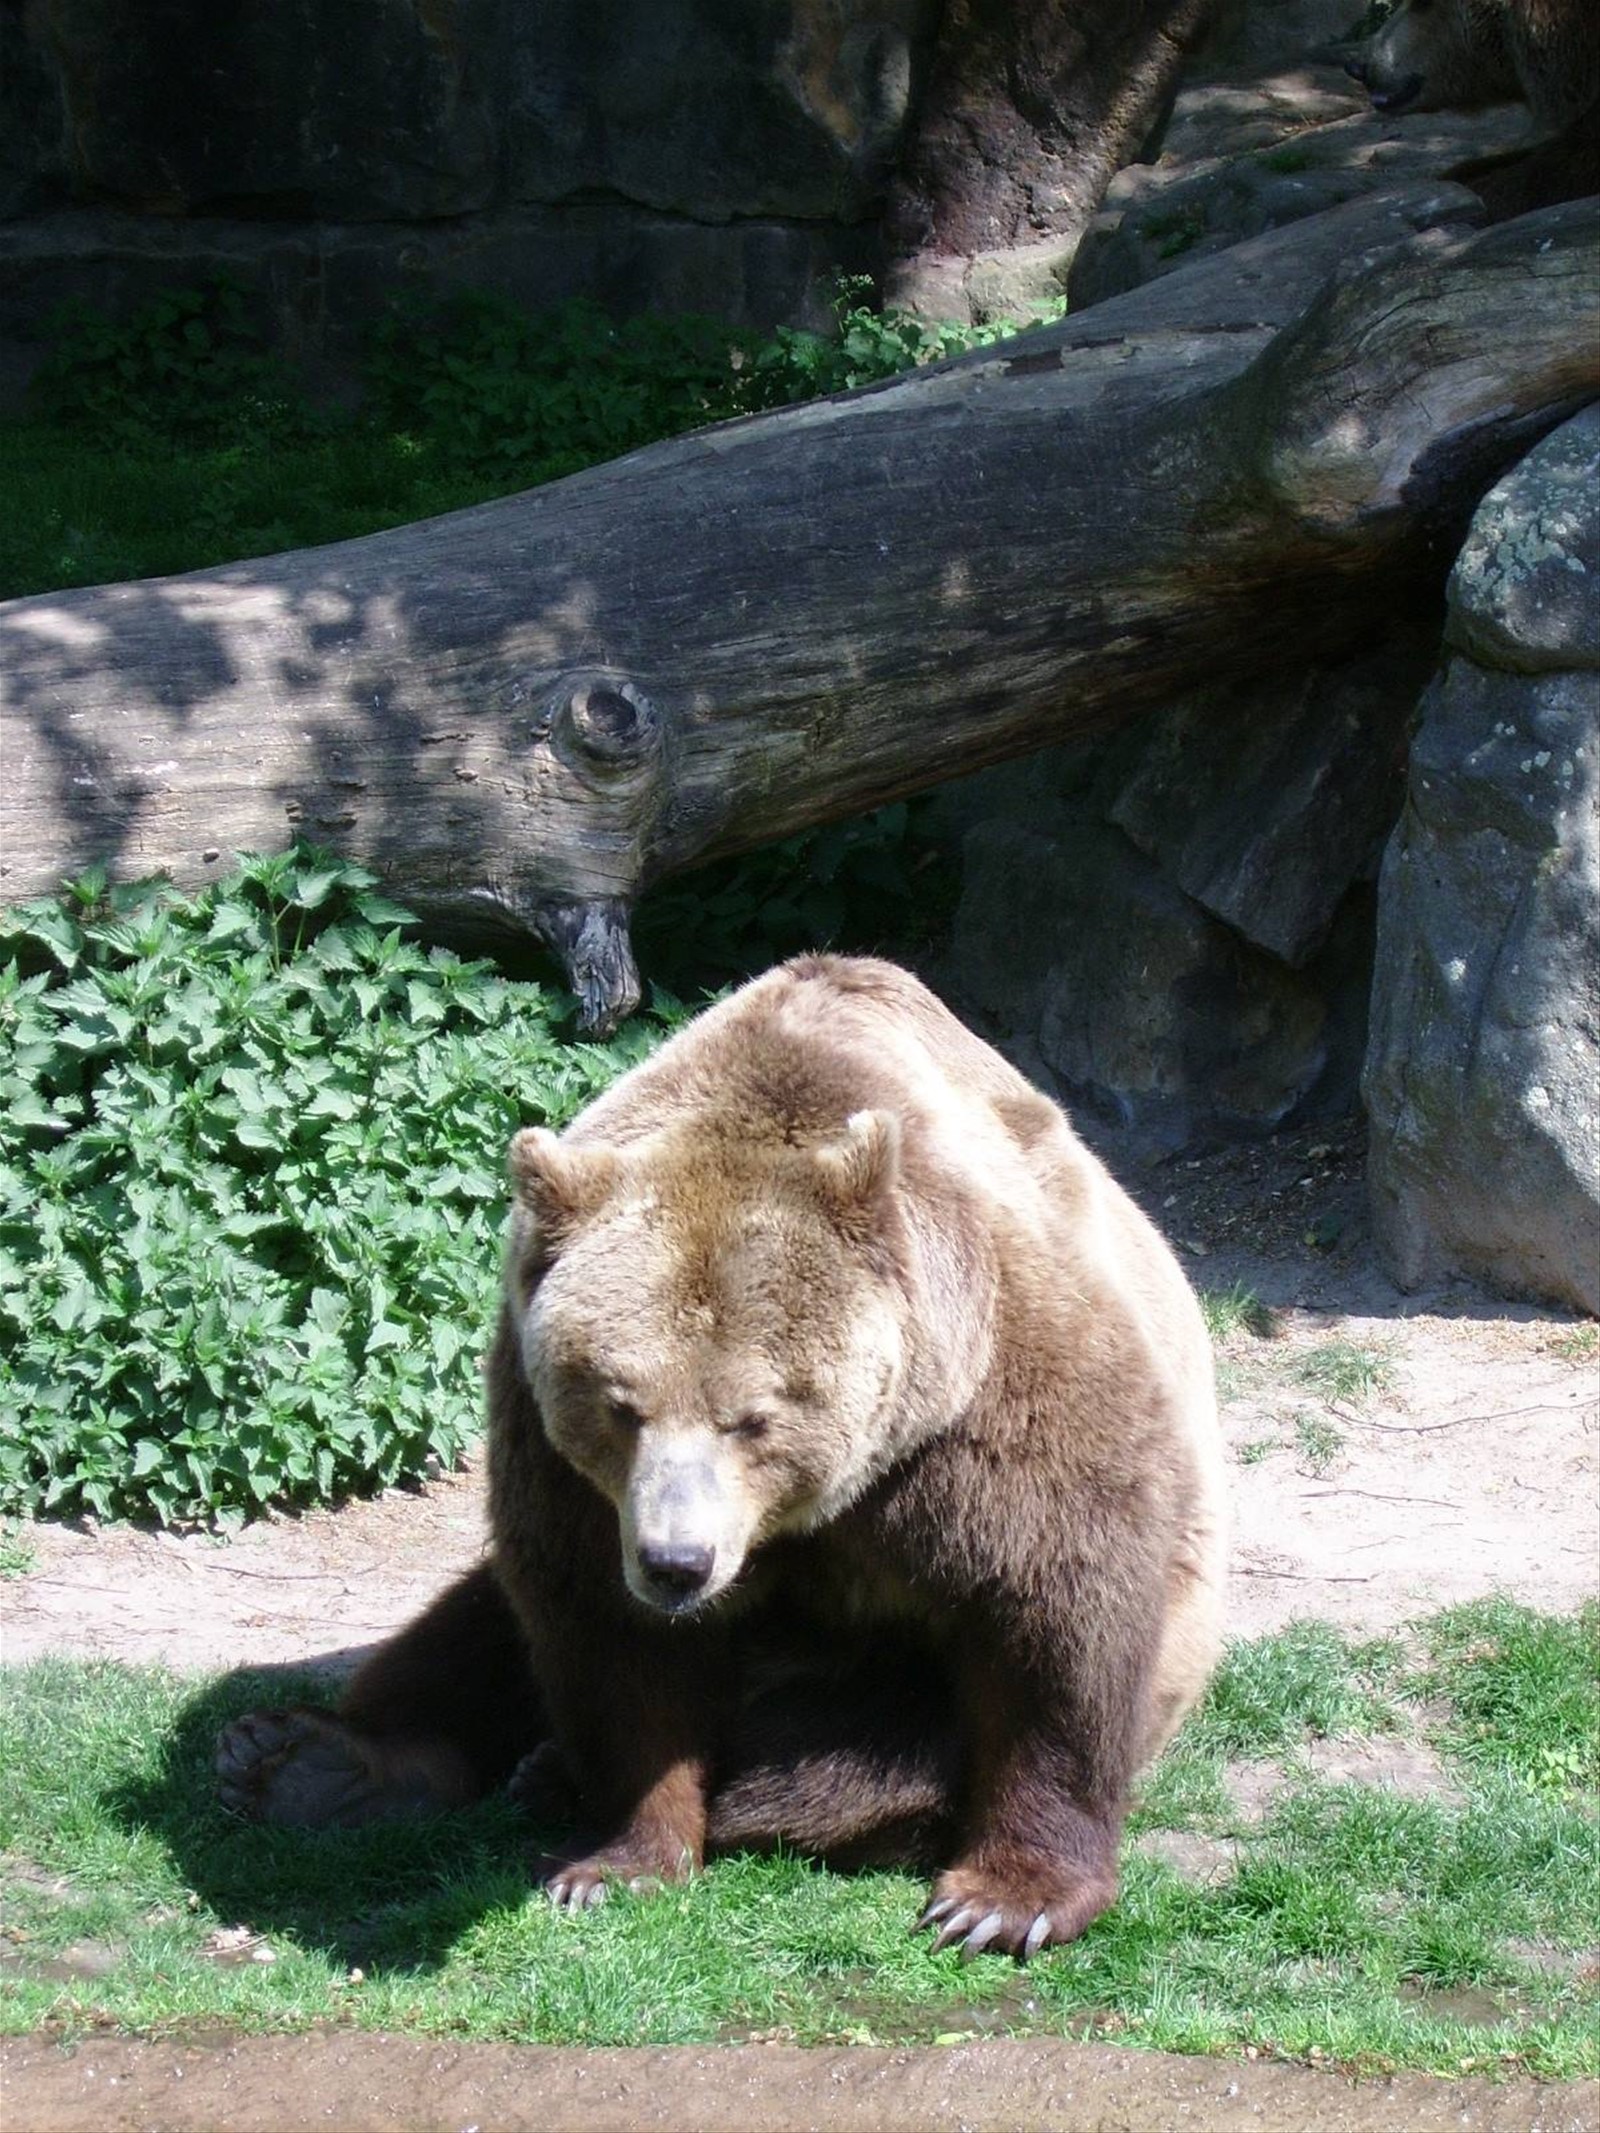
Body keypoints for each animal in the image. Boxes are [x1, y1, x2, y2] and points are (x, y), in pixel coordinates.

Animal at [216, 954, 1226, 1958]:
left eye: (754, 1415)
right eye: (620, 1405)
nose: (678, 1562)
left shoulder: (982, 1396)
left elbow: (1052, 1611)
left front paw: (1002, 1900)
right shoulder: (564, 1469)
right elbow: (608, 1641)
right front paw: (618, 1862)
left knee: (870, 1757)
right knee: (474, 1628)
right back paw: (307, 1759)